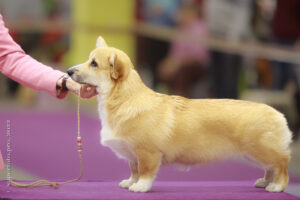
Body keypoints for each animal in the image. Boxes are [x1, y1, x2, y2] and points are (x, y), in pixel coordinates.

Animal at [67, 36, 292, 193]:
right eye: (88, 60)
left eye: (94, 64)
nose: (68, 71)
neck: (124, 99)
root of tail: (278, 113)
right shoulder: (133, 155)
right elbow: (134, 169)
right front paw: (130, 182)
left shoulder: (147, 153)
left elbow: (145, 172)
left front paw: (140, 187)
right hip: (256, 153)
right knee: (270, 167)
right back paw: (265, 181)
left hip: (261, 150)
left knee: (282, 164)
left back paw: (277, 186)